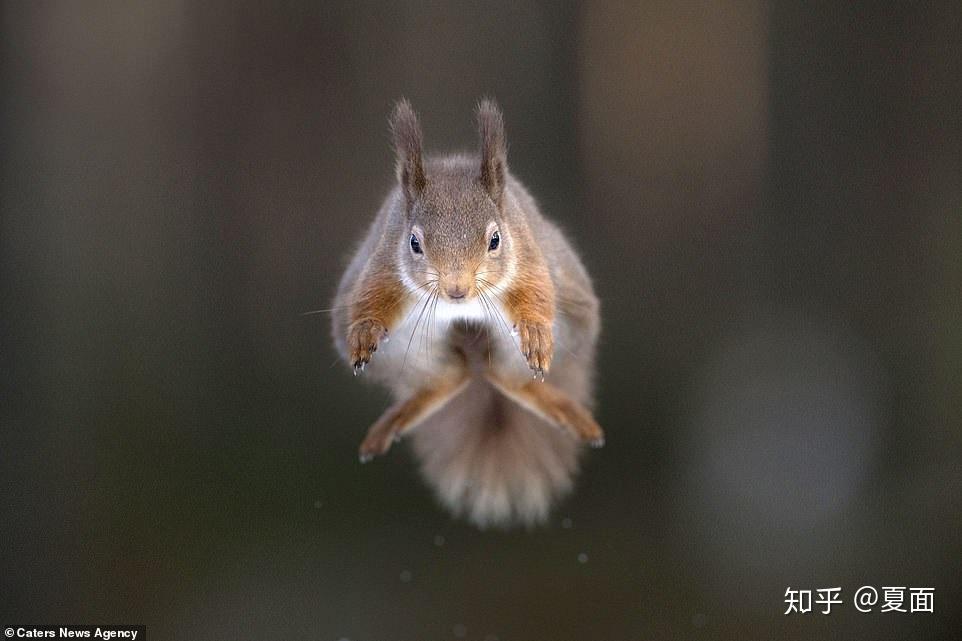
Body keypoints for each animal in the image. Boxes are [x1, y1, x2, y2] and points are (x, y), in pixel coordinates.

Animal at [331, 98, 602, 528]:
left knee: (510, 378)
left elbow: (535, 295)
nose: (456, 290)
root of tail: (474, 352)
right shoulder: (384, 263)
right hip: (410, 349)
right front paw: (365, 331)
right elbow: (372, 299)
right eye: (414, 243)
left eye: (495, 239)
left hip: (565, 325)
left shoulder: (527, 256)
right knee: (449, 378)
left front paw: (536, 334)